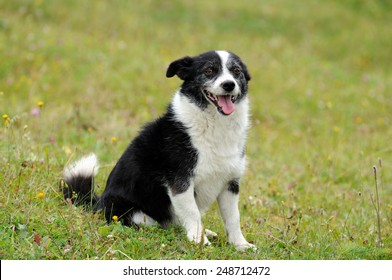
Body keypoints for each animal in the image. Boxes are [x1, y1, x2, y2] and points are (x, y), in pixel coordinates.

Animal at [62, 50, 256, 252]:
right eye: (209, 70)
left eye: (236, 71)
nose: (229, 85)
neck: (214, 124)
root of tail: (97, 205)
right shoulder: (180, 181)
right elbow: (192, 213)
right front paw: (199, 241)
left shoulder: (230, 183)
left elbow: (233, 218)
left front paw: (240, 245)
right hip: (133, 213)